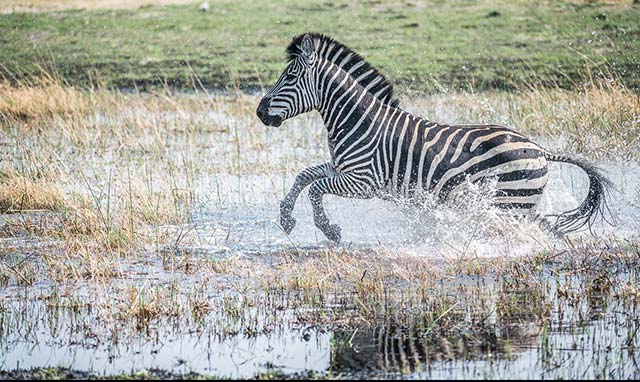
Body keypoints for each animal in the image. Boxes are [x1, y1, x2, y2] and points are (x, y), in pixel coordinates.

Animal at [255, 32, 608, 242]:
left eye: (289, 77)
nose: (259, 112)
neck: (358, 121)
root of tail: (540, 149)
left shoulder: (364, 181)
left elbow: (315, 189)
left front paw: (329, 229)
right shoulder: (342, 169)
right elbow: (304, 176)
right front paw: (286, 218)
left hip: (507, 203)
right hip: (521, 206)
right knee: (547, 229)